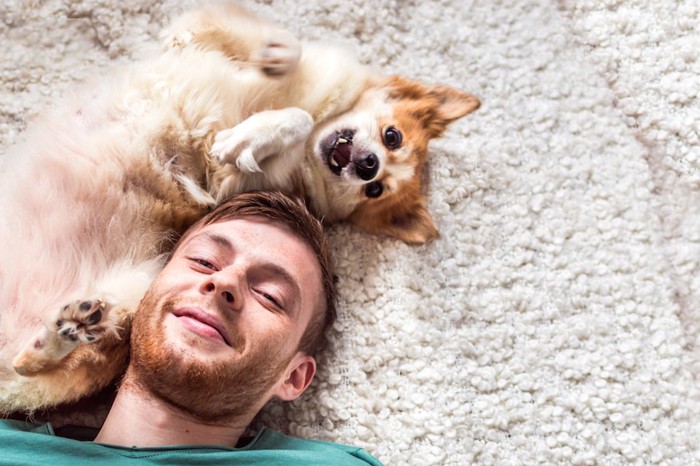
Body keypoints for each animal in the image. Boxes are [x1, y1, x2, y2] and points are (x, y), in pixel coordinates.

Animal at [0, 2, 478, 412]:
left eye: (375, 191)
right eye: (392, 137)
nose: (368, 166)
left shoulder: (235, 183)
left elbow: (285, 126)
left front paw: (252, 134)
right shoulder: (207, 31)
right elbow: (284, 50)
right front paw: (275, 61)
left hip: (141, 290)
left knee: (40, 363)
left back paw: (69, 331)